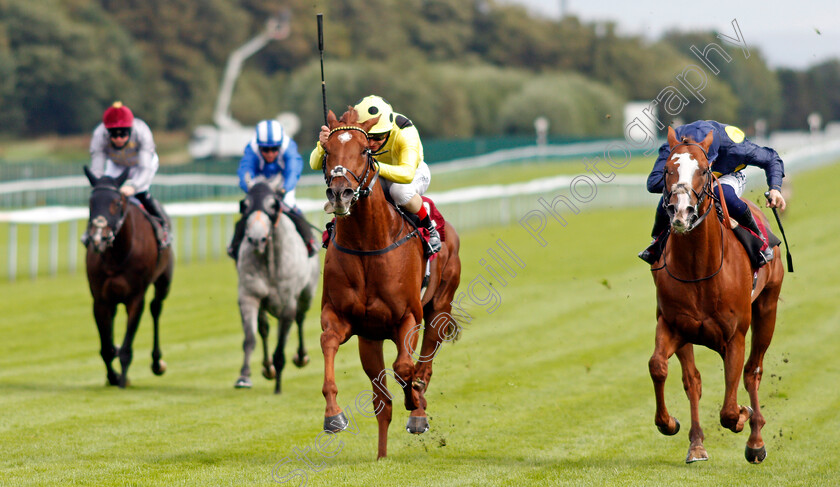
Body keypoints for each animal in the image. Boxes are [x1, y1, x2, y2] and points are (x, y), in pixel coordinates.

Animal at [83, 168, 174, 388]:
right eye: (91, 202)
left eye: (117, 202)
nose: (98, 238)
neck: (117, 256)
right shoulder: (100, 299)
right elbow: (106, 348)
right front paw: (113, 376)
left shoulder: (135, 297)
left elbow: (127, 346)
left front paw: (122, 380)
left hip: (164, 280)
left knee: (156, 308)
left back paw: (157, 362)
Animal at [235, 173, 320, 394]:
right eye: (245, 205)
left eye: (273, 205)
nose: (256, 239)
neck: (270, 263)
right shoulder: (249, 296)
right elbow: (250, 338)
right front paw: (244, 376)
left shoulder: (288, 304)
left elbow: (281, 348)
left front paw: (278, 387)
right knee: (264, 328)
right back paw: (267, 368)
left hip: (307, 294)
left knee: (301, 318)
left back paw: (301, 357)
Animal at [316, 108, 460, 460]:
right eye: (328, 151)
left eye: (364, 151)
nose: (339, 194)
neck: (368, 244)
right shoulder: (342, 319)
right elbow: (328, 344)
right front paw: (333, 416)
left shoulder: (408, 317)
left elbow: (405, 368)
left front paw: (417, 402)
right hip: (370, 340)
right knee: (382, 402)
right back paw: (381, 454)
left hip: (439, 308)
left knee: (424, 364)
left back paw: (418, 410)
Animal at [648, 129, 788, 466]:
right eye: (668, 170)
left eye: (703, 170)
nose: (681, 212)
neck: (699, 267)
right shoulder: (672, 325)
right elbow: (659, 366)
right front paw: (668, 423)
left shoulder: (734, 335)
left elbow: (729, 407)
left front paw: (742, 417)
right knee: (693, 381)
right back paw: (696, 444)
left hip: (767, 309)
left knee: (753, 372)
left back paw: (755, 440)